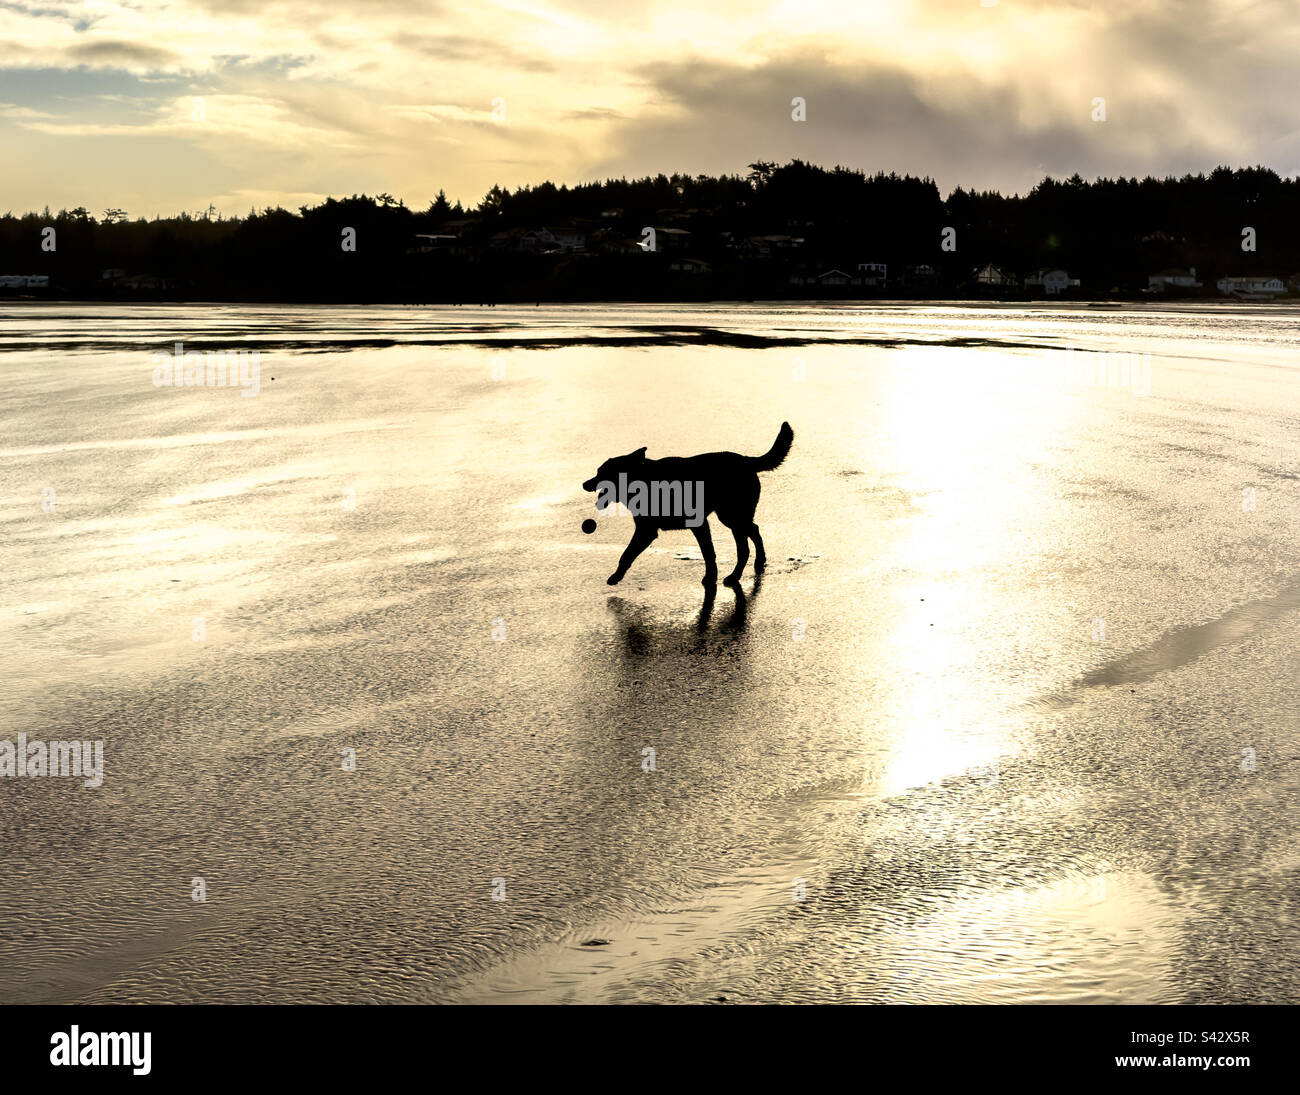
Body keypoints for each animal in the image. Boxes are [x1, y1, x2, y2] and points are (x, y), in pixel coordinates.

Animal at [587, 421, 790, 587]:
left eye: (601, 473)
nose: (584, 484)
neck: (643, 480)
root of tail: (747, 460)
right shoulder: (659, 529)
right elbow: (708, 552)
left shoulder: (659, 530)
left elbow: (627, 554)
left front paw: (616, 576)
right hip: (733, 517)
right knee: (754, 530)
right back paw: (759, 561)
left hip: (731, 517)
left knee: (744, 547)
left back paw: (735, 576)